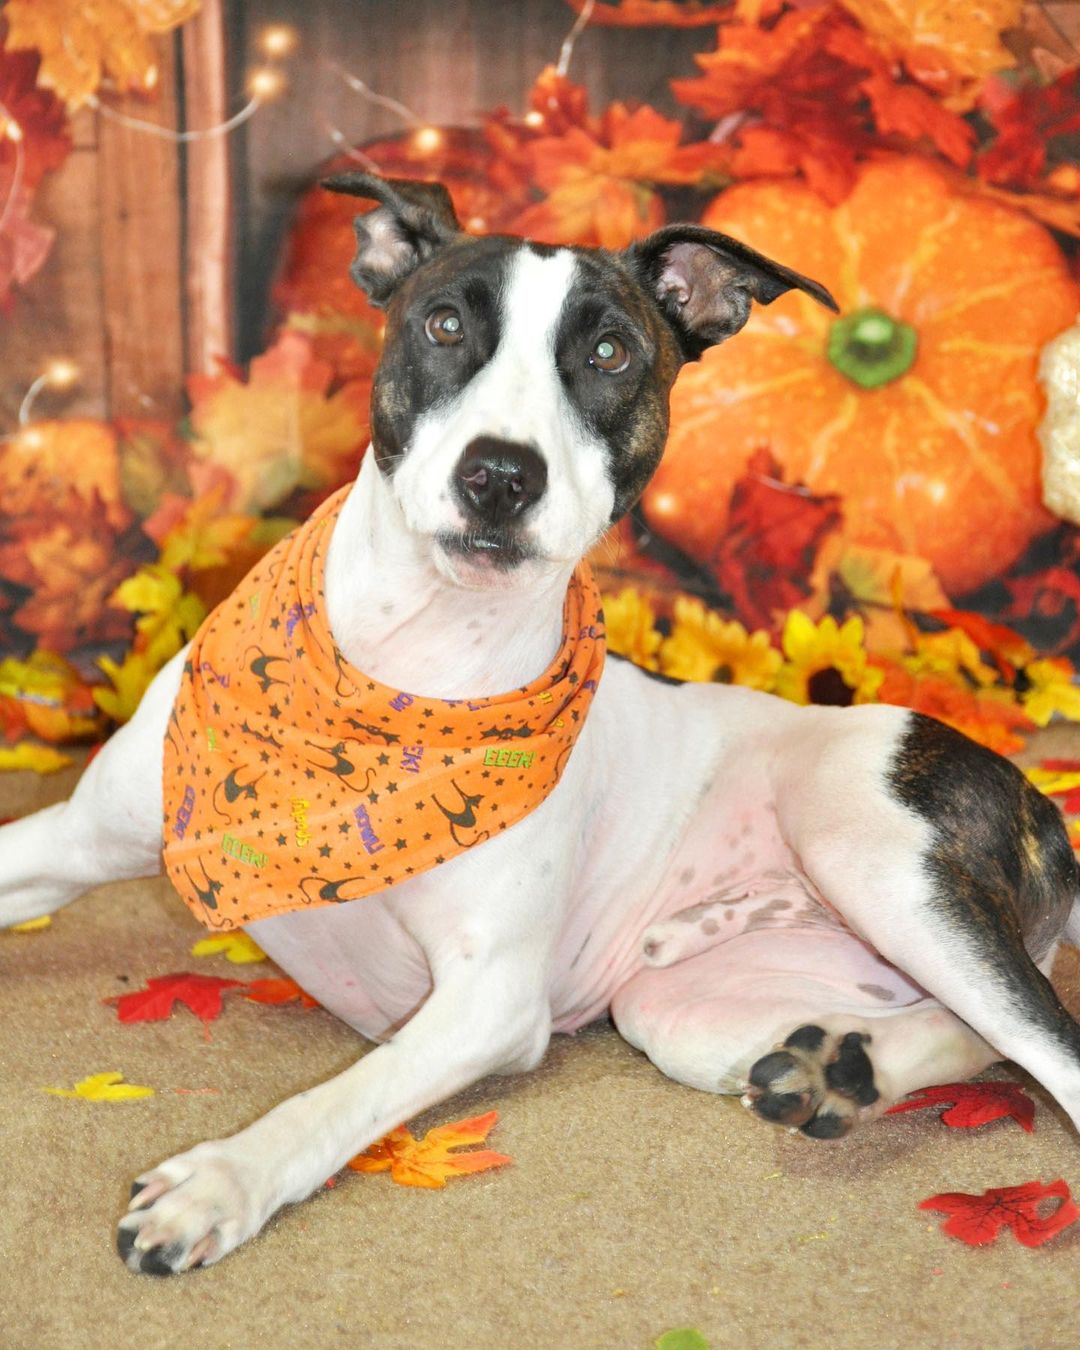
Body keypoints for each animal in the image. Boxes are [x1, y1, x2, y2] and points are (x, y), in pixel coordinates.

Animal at [0, 171, 1074, 1274]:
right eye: (441, 323)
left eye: (610, 354)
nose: (502, 475)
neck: (404, 663)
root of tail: (1039, 798)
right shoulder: (69, 837)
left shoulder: (490, 999)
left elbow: (342, 1098)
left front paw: (222, 1180)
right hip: (685, 1010)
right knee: (969, 1031)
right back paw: (840, 1071)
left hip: (877, 857)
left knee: (1045, 1038)